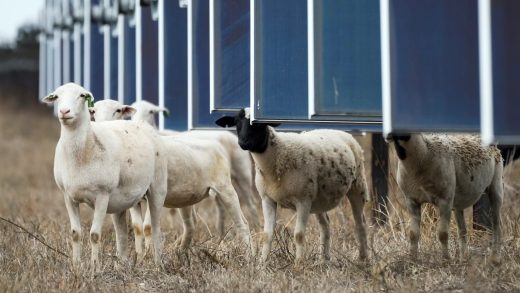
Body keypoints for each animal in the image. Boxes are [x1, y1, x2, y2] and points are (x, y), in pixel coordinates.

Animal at [41, 82, 167, 270]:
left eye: (82, 95)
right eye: (56, 96)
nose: (64, 111)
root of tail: (143, 124)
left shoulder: (102, 195)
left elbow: (94, 234)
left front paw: (94, 267)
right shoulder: (68, 196)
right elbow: (75, 233)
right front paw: (76, 266)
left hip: (157, 188)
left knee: (154, 227)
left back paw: (158, 264)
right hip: (124, 200)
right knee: (123, 232)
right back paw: (123, 264)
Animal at [91, 99, 254, 252]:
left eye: (118, 110)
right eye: (93, 111)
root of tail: (217, 145)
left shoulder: (153, 193)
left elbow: (148, 227)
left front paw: (149, 254)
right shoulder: (133, 198)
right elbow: (138, 227)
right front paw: (140, 255)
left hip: (227, 186)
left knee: (244, 222)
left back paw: (249, 254)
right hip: (188, 196)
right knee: (193, 223)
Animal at [213, 107, 368, 262]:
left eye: (258, 124)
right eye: (236, 122)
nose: (243, 142)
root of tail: (338, 131)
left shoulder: (303, 201)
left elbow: (298, 235)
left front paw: (298, 263)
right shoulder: (267, 199)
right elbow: (267, 235)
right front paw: (262, 263)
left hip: (358, 185)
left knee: (361, 224)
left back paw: (363, 259)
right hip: (318, 198)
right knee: (326, 225)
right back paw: (324, 260)